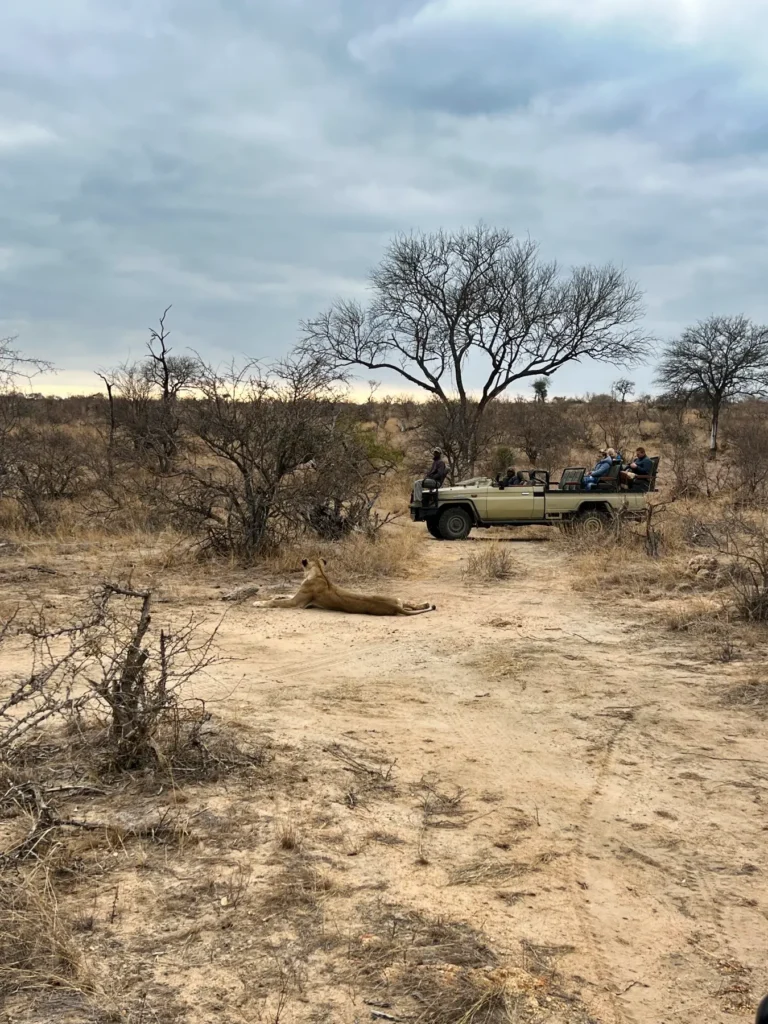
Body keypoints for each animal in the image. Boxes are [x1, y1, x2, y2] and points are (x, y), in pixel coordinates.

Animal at [253, 558, 436, 616]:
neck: (319, 573)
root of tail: (394, 606)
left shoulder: (297, 603)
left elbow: (278, 602)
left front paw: (258, 603)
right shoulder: (296, 597)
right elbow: (283, 595)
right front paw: (273, 595)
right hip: (397, 599)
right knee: (409, 602)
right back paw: (426, 603)